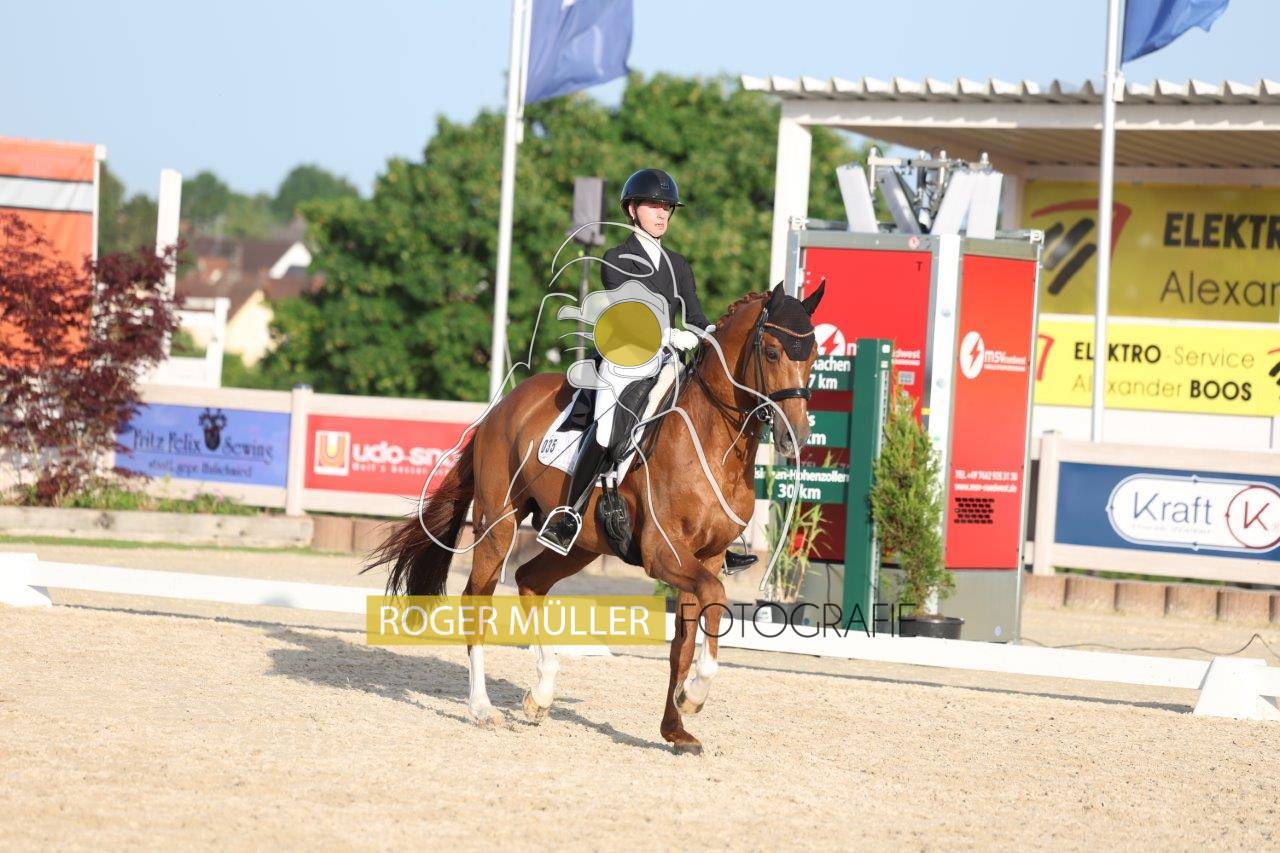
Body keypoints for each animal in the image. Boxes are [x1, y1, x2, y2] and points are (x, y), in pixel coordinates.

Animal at [366, 281, 825, 753]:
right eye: (772, 352)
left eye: (813, 357)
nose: (796, 436)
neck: (712, 440)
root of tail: (506, 402)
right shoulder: (664, 554)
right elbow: (713, 599)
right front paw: (694, 696)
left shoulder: (709, 557)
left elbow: (686, 637)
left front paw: (675, 729)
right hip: (500, 523)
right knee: (479, 598)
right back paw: (483, 708)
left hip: (579, 545)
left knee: (530, 580)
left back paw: (542, 692)